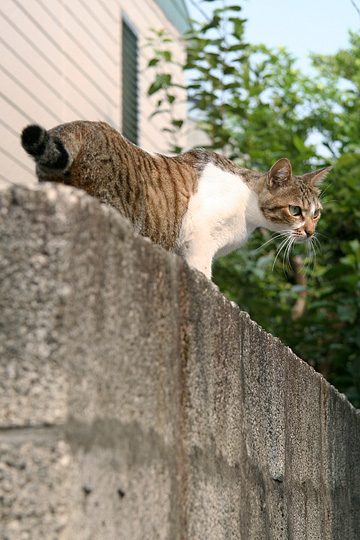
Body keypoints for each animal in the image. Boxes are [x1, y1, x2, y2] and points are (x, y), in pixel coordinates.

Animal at [20, 121, 332, 278]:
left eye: (316, 213)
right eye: (295, 210)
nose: (310, 232)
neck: (247, 204)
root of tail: (80, 126)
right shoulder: (200, 238)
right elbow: (203, 271)